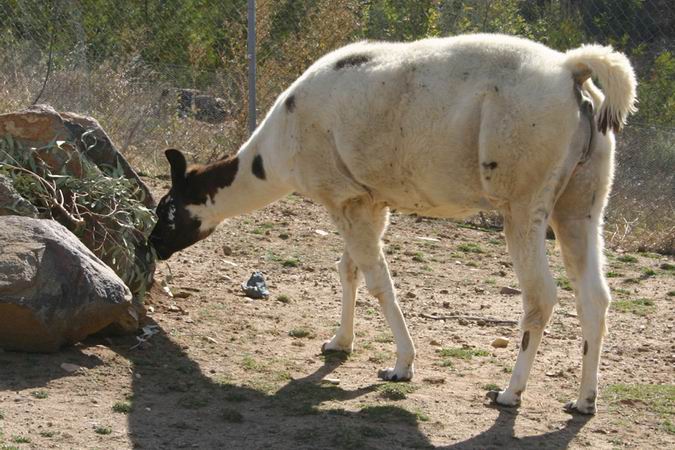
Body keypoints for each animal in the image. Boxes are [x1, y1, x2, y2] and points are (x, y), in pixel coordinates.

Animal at [149, 33, 637, 414]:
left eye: (166, 209)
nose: (153, 245)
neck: (276, 153)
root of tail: (570, 70)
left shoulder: (344, 197)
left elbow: (379, 280)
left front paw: (401, 365)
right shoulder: (366, 199)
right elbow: (348, 270)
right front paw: (339, 342)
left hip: (522, 197)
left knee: (541, 296)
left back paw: (509, 393)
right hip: (581, 200)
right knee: (594, 295)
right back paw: (583, 401)